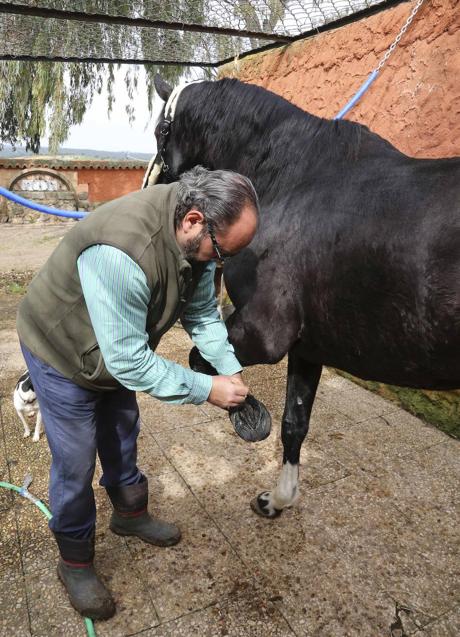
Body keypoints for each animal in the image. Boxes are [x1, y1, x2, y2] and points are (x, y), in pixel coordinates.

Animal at [149, 77, 458, 520]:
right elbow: (294, 423)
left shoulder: (264, 333)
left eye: (161, 129)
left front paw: (243, 411)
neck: (293, 179)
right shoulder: (308, 346)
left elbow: (200, 359)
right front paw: (278, 498)